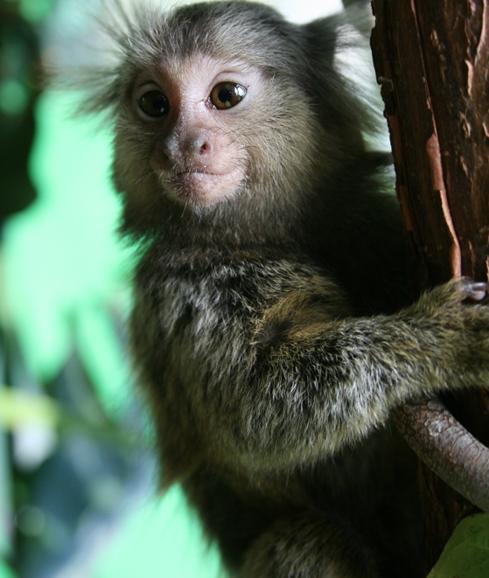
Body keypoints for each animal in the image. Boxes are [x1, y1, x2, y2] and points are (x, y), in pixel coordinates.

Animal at [78, 2, 488, 572]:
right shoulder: (178, 297)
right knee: (309, 541)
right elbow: (258, 408)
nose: (182, 146)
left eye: (226, 96)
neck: (265, 234)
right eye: (154, 104)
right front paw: (443, 337)